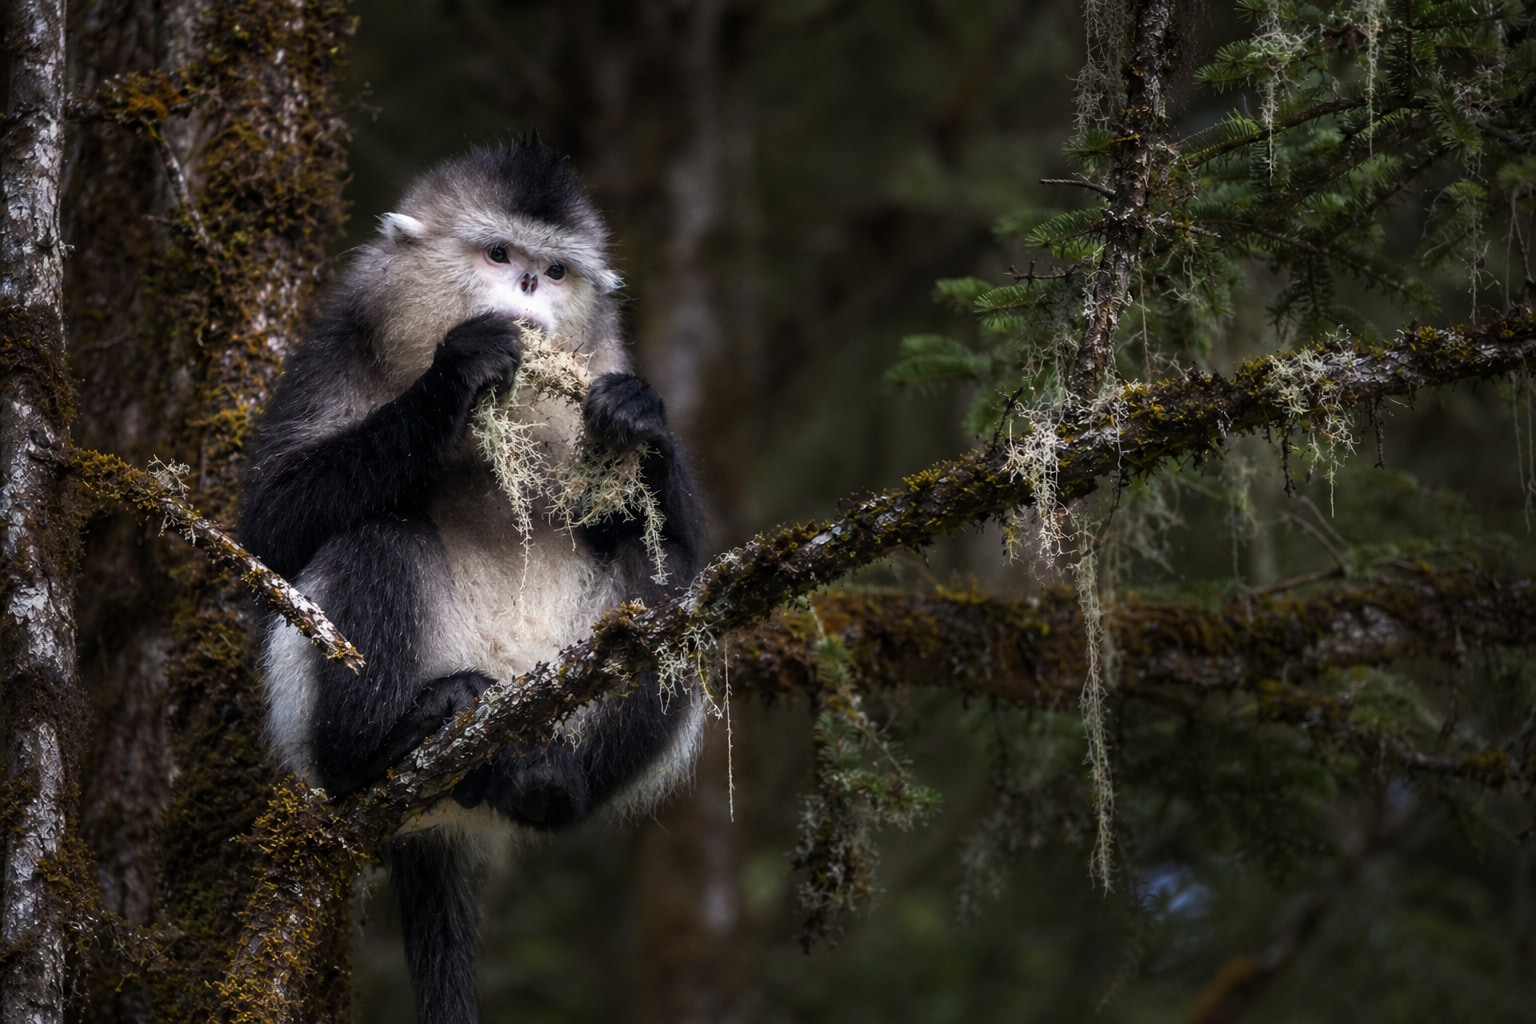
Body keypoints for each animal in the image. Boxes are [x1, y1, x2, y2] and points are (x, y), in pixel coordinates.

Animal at [238, 139, 705, 1024]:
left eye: (553, 270)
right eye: (497, 254)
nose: (525, 288)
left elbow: (676, 549)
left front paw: (642, 423)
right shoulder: (335, 349)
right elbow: (268, 529)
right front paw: (458, 375)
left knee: (665, 590)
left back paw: (549, 784)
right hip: (318, 723)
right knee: (374, 539)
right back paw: (388, 742)